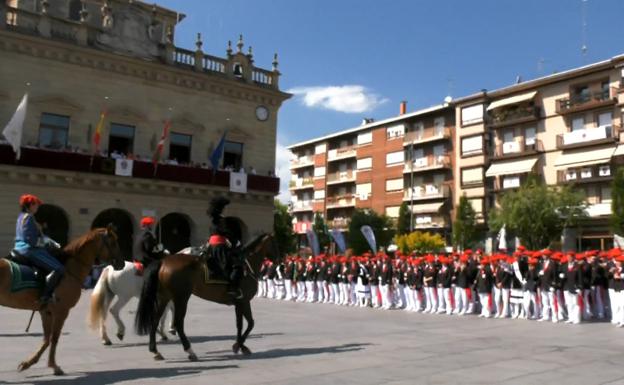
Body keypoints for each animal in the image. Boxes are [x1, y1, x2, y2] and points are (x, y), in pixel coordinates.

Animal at [0, 225, 125, 376]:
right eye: (113, 242)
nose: (122, 263)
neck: (70, 270)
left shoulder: (46, 312)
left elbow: (46, 339)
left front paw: (28, 363)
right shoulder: (62, 312)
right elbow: (54, 338)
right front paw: (54, 366)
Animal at [135, 232, 280, 362]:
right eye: (275, 243)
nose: (278, 261)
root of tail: (163, 262)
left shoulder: (240, 302)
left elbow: (242, 324)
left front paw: (241, 346)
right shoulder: (243, 301)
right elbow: (249, 323)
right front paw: (238, 345)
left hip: (164, 297)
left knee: (155, 320)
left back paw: (155, 351)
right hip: (181, 298)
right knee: (178, 323)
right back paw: (190, 351)